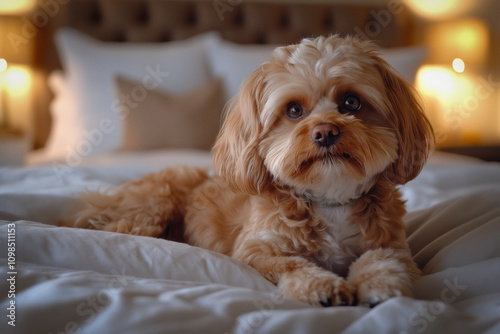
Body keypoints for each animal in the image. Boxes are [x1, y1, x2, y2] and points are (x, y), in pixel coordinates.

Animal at [68, 35, 436, 306]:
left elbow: (383, 260)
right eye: (294, 110)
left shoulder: (394, 246)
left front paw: (380, 284)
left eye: (351, 103)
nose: (325, 132)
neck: (329, 198)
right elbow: (291, 262)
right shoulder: (254, 251)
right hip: (155, 205)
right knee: (123, 230)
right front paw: (320, 286)